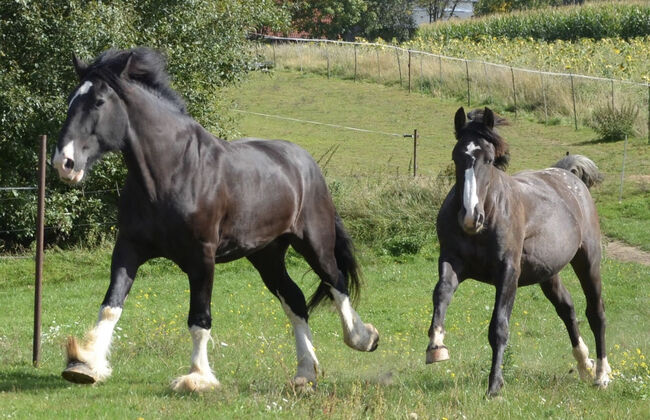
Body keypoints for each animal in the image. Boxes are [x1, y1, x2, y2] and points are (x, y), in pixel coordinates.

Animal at [53, 47, 378, 392]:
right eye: (72, 99)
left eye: (99, 102)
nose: (64, 162)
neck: (172, 173)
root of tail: (306, 162)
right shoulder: (129, 248)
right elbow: (110, 307)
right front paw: (85, 365)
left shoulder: (202, 257)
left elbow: (199, 319)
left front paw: (197, 378)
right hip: (266, 255)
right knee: (295, 300)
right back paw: (305, 372)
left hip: (314, 242)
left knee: (336, 281)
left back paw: (364, 338)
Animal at [426, 108, 608, 398]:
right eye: (456, 156)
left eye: (489, 160)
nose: (470, 217)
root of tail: (568, 176)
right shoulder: (452, 261)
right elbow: (441, 293)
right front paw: (436, 347)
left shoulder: (508, 272)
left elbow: (499, 327)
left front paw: (494, 386)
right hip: (549, 273)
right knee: (567, 308)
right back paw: (585, 365)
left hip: (588, 261)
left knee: (596, 313)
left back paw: (601, 375)